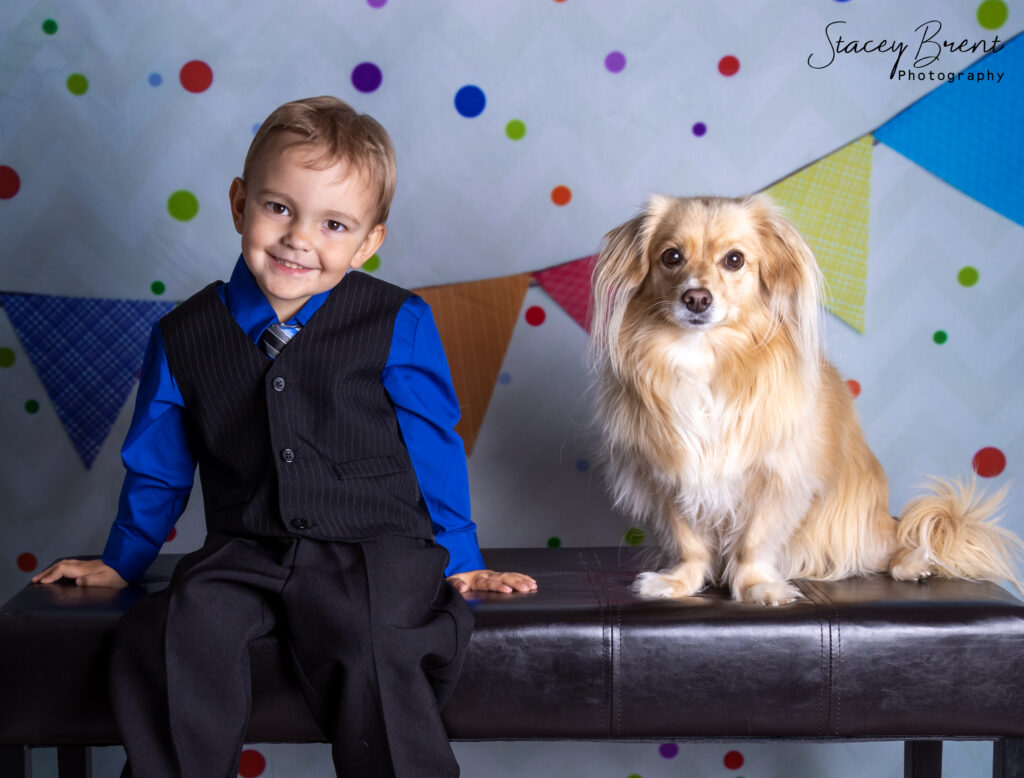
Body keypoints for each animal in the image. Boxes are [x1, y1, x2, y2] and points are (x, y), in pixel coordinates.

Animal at [589, 194, 1019, 606]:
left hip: (855, 530)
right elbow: (688, 542)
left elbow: (753, 542)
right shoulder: (669, 476)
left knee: (892, 548)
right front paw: (679, 582)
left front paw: (758, 587)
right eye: (671, 256)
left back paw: (912, 563)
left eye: (734, 260)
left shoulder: (778, 478)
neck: (705, 357)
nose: (696, 298)